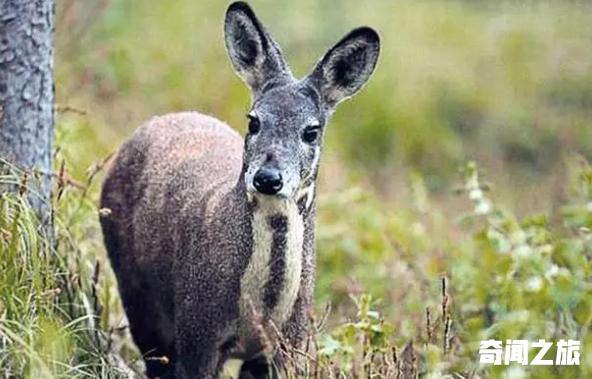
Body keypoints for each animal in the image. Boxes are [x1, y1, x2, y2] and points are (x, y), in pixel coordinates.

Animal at [100, 1, 380, 378]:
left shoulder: (288, 345)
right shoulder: (197, 330)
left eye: (311, 131)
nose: (267, 177)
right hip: (135, 287)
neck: (260, 310)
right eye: (254, 120)